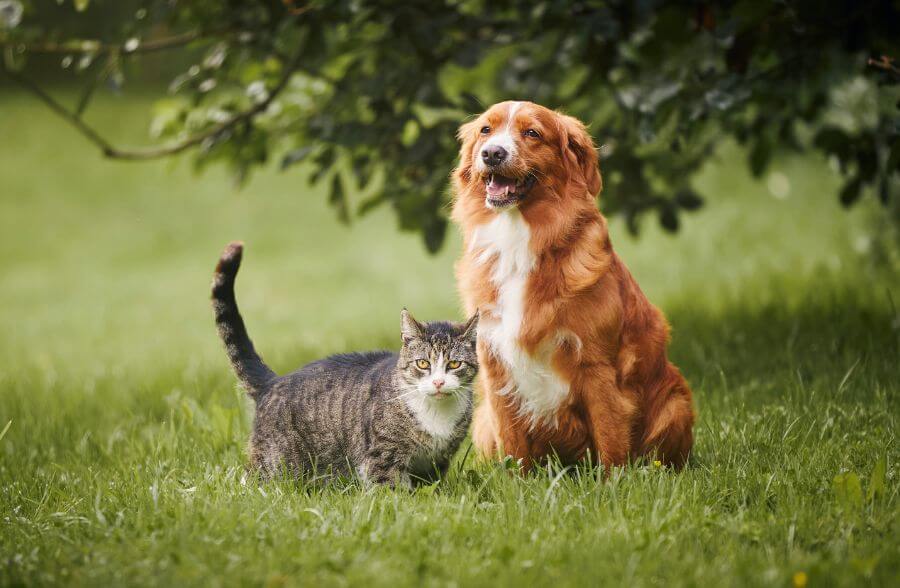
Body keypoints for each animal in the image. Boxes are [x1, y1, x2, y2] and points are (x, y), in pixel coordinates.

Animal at [211, 241, 478, 484]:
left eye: (454, 365)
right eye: (423, 364)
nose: (439, 382)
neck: (437, 416)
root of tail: (273, 381)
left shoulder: (437, 461)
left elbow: (429, 487)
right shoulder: (382, 456)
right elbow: (389, 489)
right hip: (276, 463)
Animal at [450, 100, 696, 468]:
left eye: (532, 133)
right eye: (485, 130)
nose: (492, 153)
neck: (519, 239)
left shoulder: (597, 365)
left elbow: (610, 440)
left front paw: (614, 481)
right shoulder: (496, 365)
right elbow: (513, 448)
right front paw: (514, 481)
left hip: (675, 404)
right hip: (482, 422)